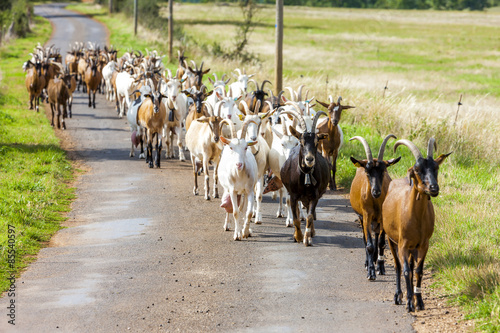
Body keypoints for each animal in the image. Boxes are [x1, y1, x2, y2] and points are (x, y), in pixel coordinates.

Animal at [280, 108, 330, 244]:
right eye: (301, 142)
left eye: (317, 142)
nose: (309, 159)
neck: (306, 175)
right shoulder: (293, 196)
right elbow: (296, 218)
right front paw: (298, 236)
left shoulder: (314, 196)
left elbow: (310, 216)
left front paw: (307, 238)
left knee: (308, 211)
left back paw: (311, 232)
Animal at [348, 134, 402, 278]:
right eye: (367, 172)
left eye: (383, 171)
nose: (376, 191)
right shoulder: (366, 215)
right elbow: (369, 244)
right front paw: (371, 271)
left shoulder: (383, 217)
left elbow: (381, 243)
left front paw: (380, 267)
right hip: (361, 217)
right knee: (365, 238)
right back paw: (368, 262)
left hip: (377, 220)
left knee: (376, 235)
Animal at [382, 137, 454, 312]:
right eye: (416, 169)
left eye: (436, 167)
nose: (434, 188)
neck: (416, 218)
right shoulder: (402, 244)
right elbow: (406, 271)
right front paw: (409, 303)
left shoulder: (423, 244)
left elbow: (418, 271)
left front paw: (419, 301)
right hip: (391, 240)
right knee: (398, 266)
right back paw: (398, 296)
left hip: (412, 247)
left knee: (411, 264)